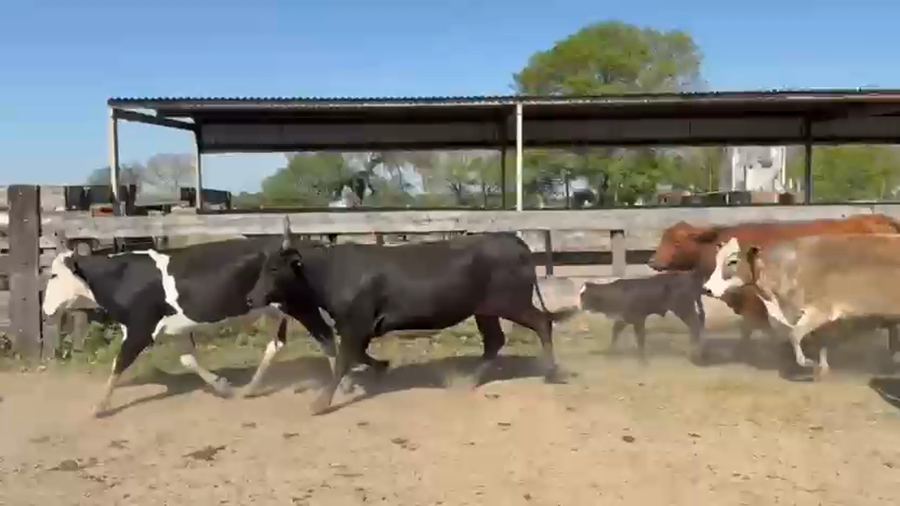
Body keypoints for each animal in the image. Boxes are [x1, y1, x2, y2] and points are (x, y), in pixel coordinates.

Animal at [42, 232, 340, 416]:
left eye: (54, 275)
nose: (45, 310)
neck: (122, 277)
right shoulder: (176, 330)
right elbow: (188, 360)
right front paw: (223, 386)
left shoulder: (139, 329)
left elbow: (119, 363)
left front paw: (99, 406)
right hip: (274, 311)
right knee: (277, 344)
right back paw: (250, 389)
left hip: (301, 306)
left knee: (326, 337)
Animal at [246, 221, 579, 415]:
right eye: (261, 268)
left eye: (274, 268)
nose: (250, 297)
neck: (332, 271)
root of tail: (512, 240)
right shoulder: (357, 327)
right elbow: (357, 355)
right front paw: (382, 366)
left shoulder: (356, 324)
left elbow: (344, 360)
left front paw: (319, 403)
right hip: (485, 311)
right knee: (495, 340)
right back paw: (467, 380)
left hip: (511, 303)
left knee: (541, 323)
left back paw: (551, 371)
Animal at [702, 234, 900, 379]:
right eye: (717, 259)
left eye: (733, 261)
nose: (707, 288)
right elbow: (816, 339)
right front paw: (822, 368)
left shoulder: (820, 311)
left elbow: (794, 335)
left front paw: (809, 364)